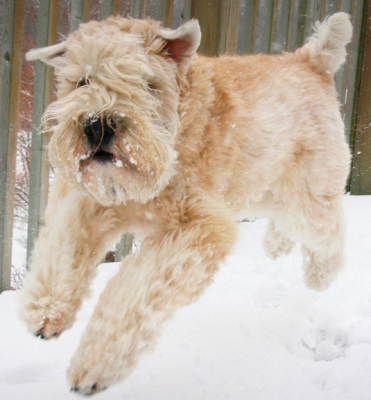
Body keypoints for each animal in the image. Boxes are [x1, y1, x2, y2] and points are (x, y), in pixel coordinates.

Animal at [20, 13, 354, 396]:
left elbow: (133, 294)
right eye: (82, 80)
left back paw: (319, 274)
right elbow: (62, 250)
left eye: (148, 83)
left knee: (329, 231)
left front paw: (95, 364)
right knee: (285, 221)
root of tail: (310, 60)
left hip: (308, 192)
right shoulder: (90, 203)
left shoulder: (197, 229)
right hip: (267, 185)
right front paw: (46, 310)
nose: (98, 125)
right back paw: (276, 244)